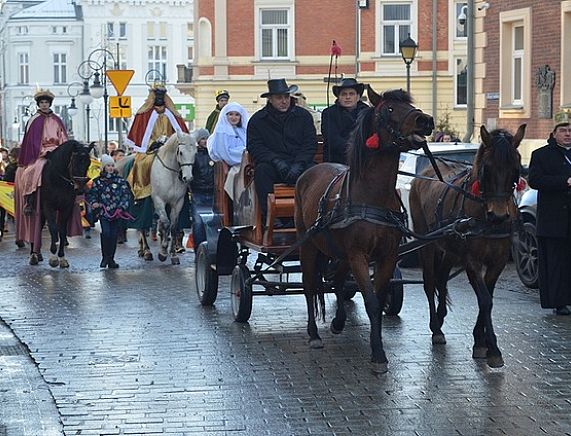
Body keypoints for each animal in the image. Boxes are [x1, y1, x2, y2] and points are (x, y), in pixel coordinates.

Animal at [151, 131, 198, 264]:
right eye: (180, 152)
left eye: (195, 153)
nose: (188, 178)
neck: (170, 173)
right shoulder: (158, 201)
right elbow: (166, 224)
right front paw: (162, 252)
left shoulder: (177, 203)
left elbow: (173, 226)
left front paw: (172, 254)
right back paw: (145, 252)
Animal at [294, 87, 434, 372]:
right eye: (389, 109)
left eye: (409, 104)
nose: (425, 120)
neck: (372, 196)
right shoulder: (358, 254)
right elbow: (369, 300)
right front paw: (378, 354)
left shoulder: (387, 255)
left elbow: (377, 300)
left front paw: (375, 346)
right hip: (308, 246)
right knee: (310, 285)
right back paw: (314, 334)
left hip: (340, 253)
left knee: (336, 281)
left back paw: (338, 321)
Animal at [412, 124, 528, 370]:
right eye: (487, 169)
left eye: (515, 169)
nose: (499, 215)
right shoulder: (472, 261)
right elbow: (485, 299)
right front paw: (493, 349)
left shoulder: (498, 261)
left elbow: (488, 297)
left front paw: (480, 341)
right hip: (426, 241)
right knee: (429, 282)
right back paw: (436, 327)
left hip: (449, 247)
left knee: (442, 279)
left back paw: (441, 315)